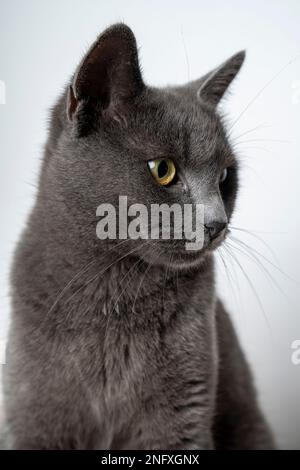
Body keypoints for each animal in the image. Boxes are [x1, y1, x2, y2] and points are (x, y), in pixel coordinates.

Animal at [2, 23, 276, 450]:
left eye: (225, 177)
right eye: (163, 169)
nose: (217, 222)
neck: (111, 289)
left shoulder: (181, 415)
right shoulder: (32, 416)